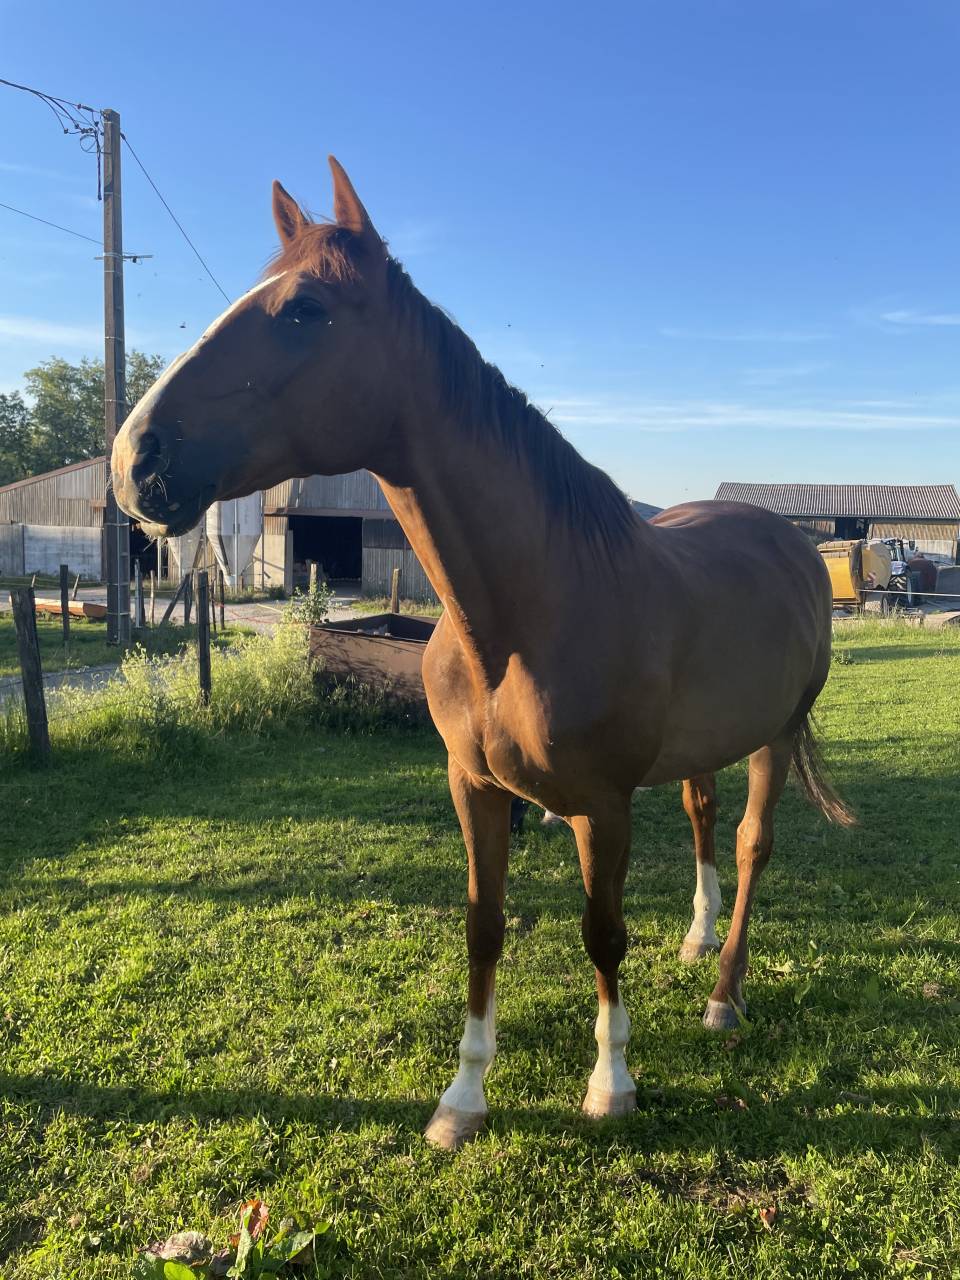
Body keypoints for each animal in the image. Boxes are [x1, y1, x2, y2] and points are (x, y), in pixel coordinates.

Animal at [112, 158, 854, 1150]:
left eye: (304, 309)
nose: (135, 460)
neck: (525, 616)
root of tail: (789, 543)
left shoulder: (599, 808)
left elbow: (602, 933)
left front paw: (611, 1083)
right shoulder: (474, 787)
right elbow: (483, 925)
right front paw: (462, 1099)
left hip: (776, 735)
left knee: (747, 845)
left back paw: (724, 995)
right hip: (706, 744)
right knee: (703, 813)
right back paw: (697, 941)